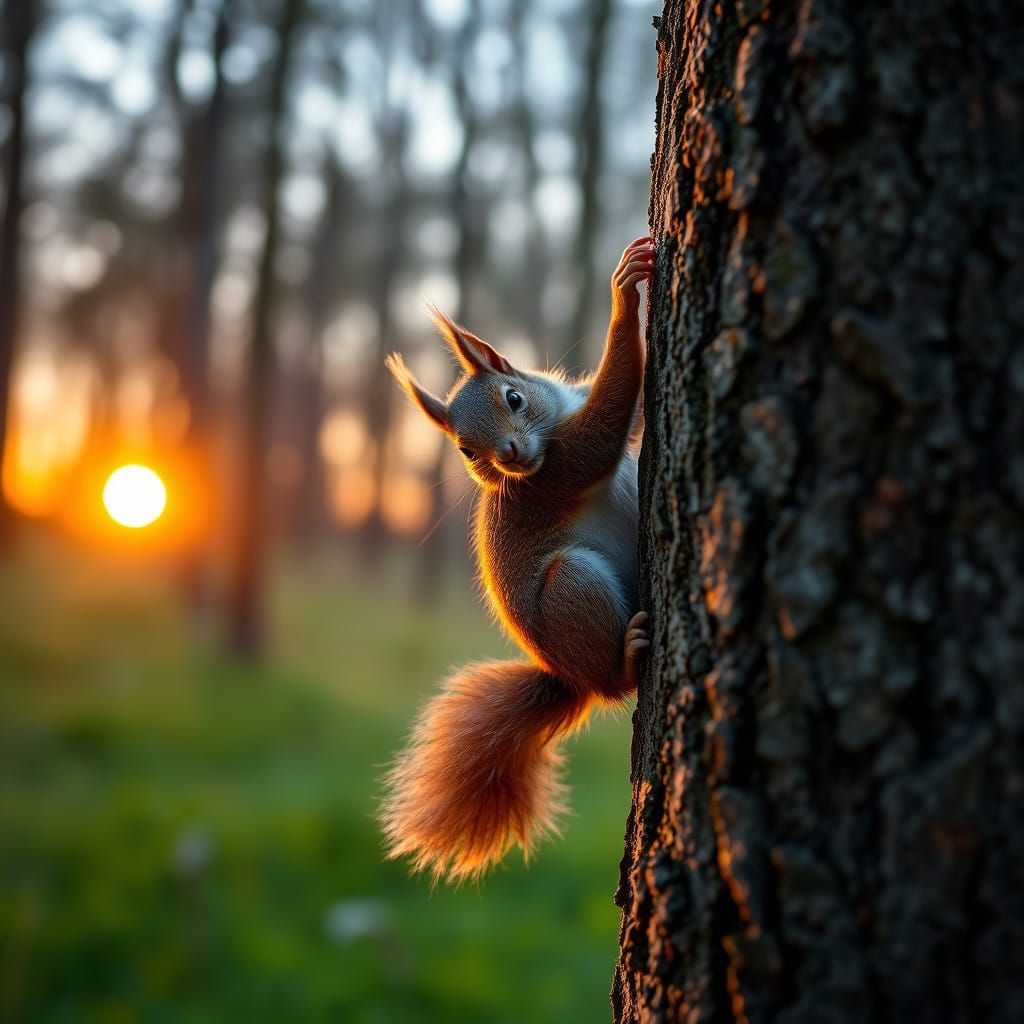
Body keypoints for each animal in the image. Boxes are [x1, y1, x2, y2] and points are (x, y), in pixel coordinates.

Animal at [381, 235, 654, 882]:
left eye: (513, 396)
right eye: (465, 449)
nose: (506, 454)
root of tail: (570, 675)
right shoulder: (559, 471)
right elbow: (609, 418)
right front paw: (623, 297)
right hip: (574, 586)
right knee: (615, 682)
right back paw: (628, 658)